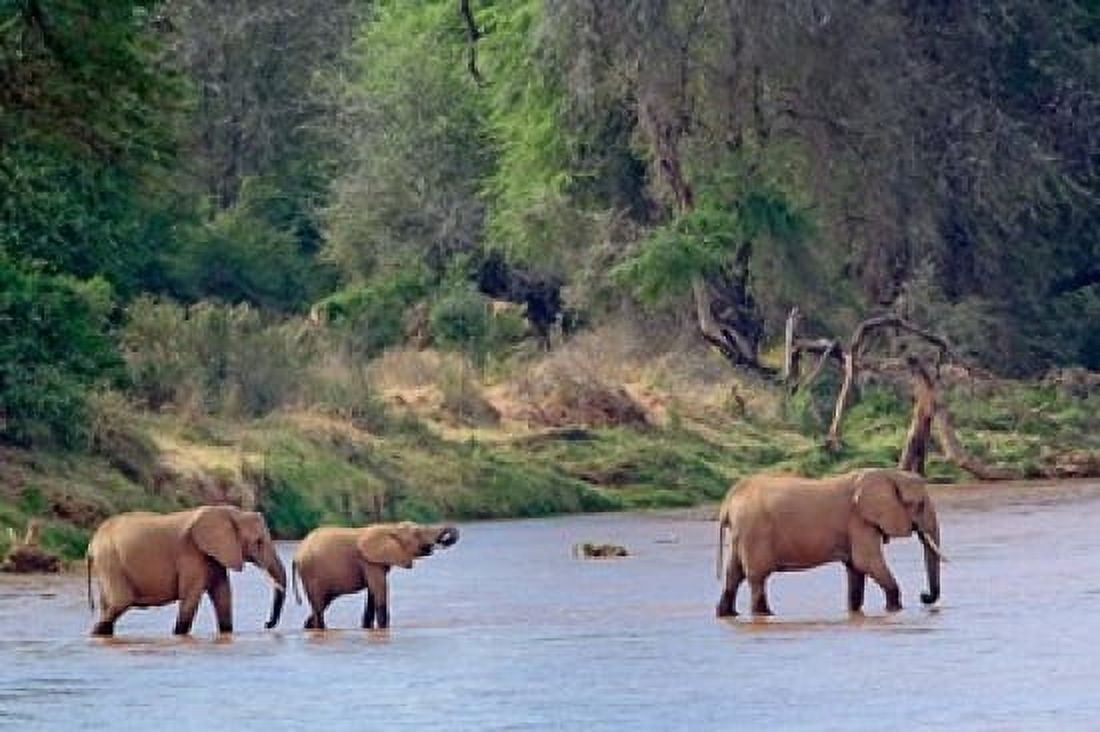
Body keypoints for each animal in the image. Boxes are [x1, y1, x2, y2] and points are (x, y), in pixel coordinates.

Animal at [85, 505, 287, 637]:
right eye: (259, 542)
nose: (266, 624)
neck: (231, 513)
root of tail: (91, 544)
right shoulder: (191, 555)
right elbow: (191, 597)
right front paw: (178, 635)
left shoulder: (214, 555)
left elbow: (223, 596)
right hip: (111, 561)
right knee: (120, 602)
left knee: (109, 606)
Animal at [291, 522, 459, 630]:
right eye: (417, 533)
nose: (443, 540)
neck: (391, 527)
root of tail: (296, 555)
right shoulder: (369, 562)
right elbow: (379, 593)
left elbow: (372, 595)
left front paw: (367, 629)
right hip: (311, 573)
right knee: (319, 607)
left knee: (320, 605)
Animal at [715, 468, 945, 617]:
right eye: (920, 504)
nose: (923, 595)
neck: (889, 474)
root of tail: (728, 501)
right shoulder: (859, 521)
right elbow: (867, 562)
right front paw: (894, 610)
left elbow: (856, 568)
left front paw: (854, 613)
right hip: (754, 532)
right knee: (757, 577)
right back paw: (765, 615)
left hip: (741, 533)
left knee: (733, 574)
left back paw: (728, 615)